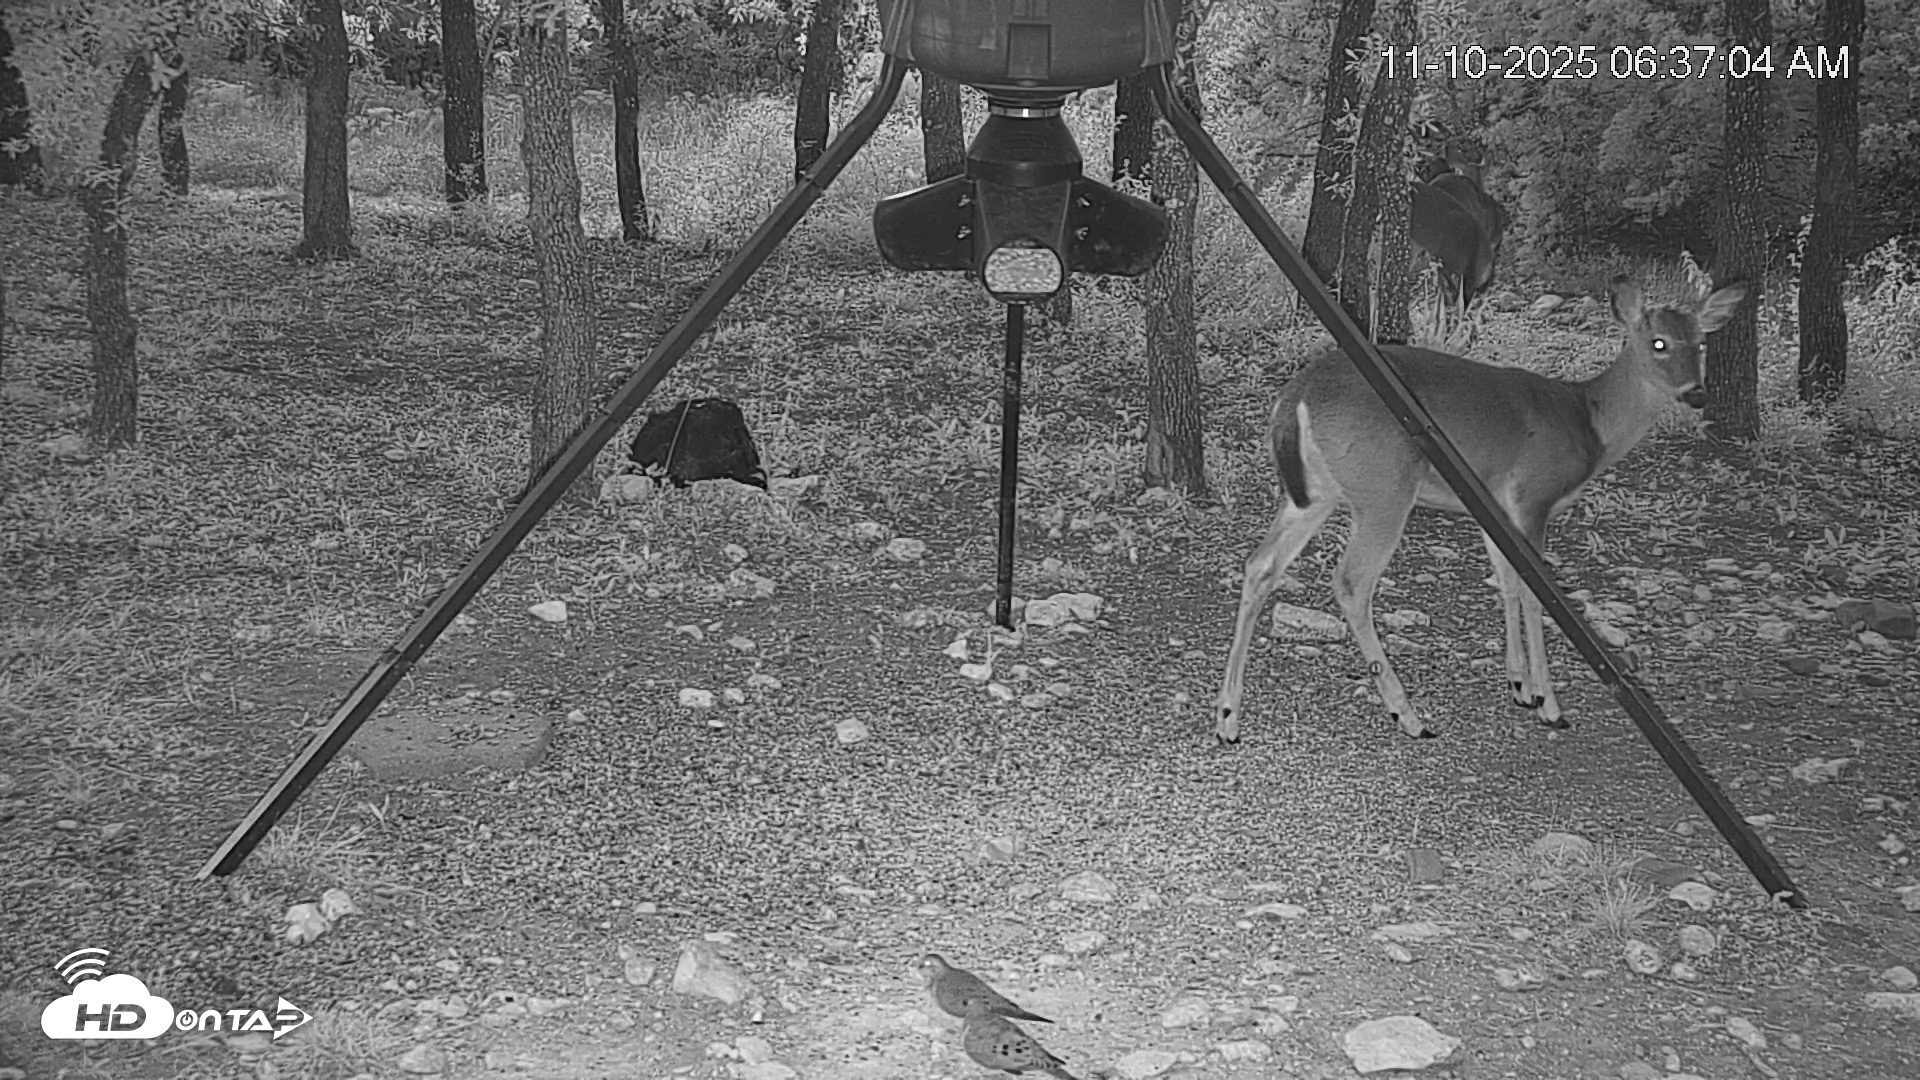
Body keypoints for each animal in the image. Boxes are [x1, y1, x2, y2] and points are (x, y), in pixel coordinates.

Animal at [1214, 277, 1748, 743]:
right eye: (1659, 343)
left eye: (1700, 342)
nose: (1697, 394)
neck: (1588, 421)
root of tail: (1295, 396)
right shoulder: (1533, 495)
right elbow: (1535, 594)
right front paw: (1550, 704)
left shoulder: (1494, 505)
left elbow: (1507, 583)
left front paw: (1520, 687)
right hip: (1384, 488)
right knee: (1351, 582)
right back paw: (1408, 714)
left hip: (1314, 494)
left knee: (1260, 564)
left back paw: (1228, 716)